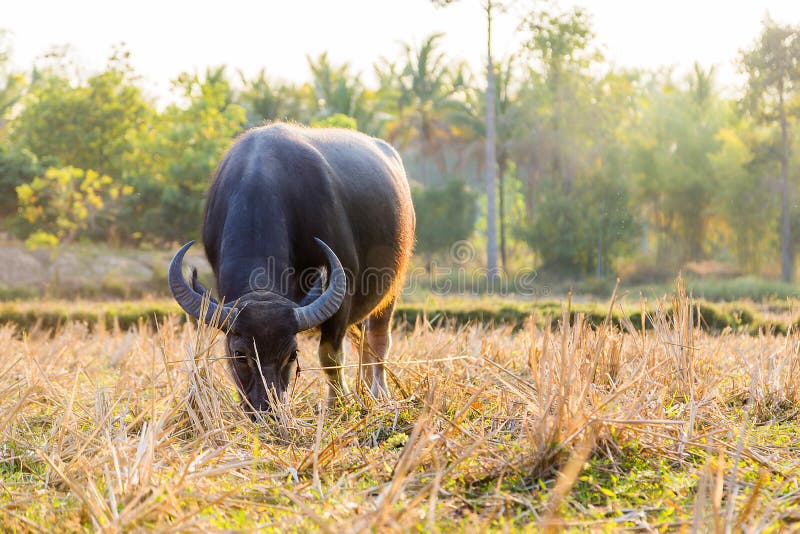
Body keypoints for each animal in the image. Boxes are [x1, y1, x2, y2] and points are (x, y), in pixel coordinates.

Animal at [168, 123, 415, 412]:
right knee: (362, 339)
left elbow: (330, 357)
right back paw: (363, 389)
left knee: (378, 340)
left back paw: (378, 393)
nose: (267, 409)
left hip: (392, 287)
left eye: (292, 354)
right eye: (240, 355)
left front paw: (336, 406)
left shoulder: (342, 297)